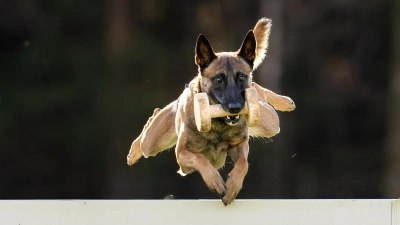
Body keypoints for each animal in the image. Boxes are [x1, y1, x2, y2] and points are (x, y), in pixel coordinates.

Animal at [126, 18, 296, 205]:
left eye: (241, 77)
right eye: (219, 79)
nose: (236, 107)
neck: (218, 125)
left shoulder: (240, 145)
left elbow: (243, 164)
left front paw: (233, 186)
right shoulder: (182, 155)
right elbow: (200, 158)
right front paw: (214, 180)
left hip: (269, 124)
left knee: (259, 90)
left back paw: (285, 102)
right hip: (153, 143)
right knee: (148, 132)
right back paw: (134, 151)